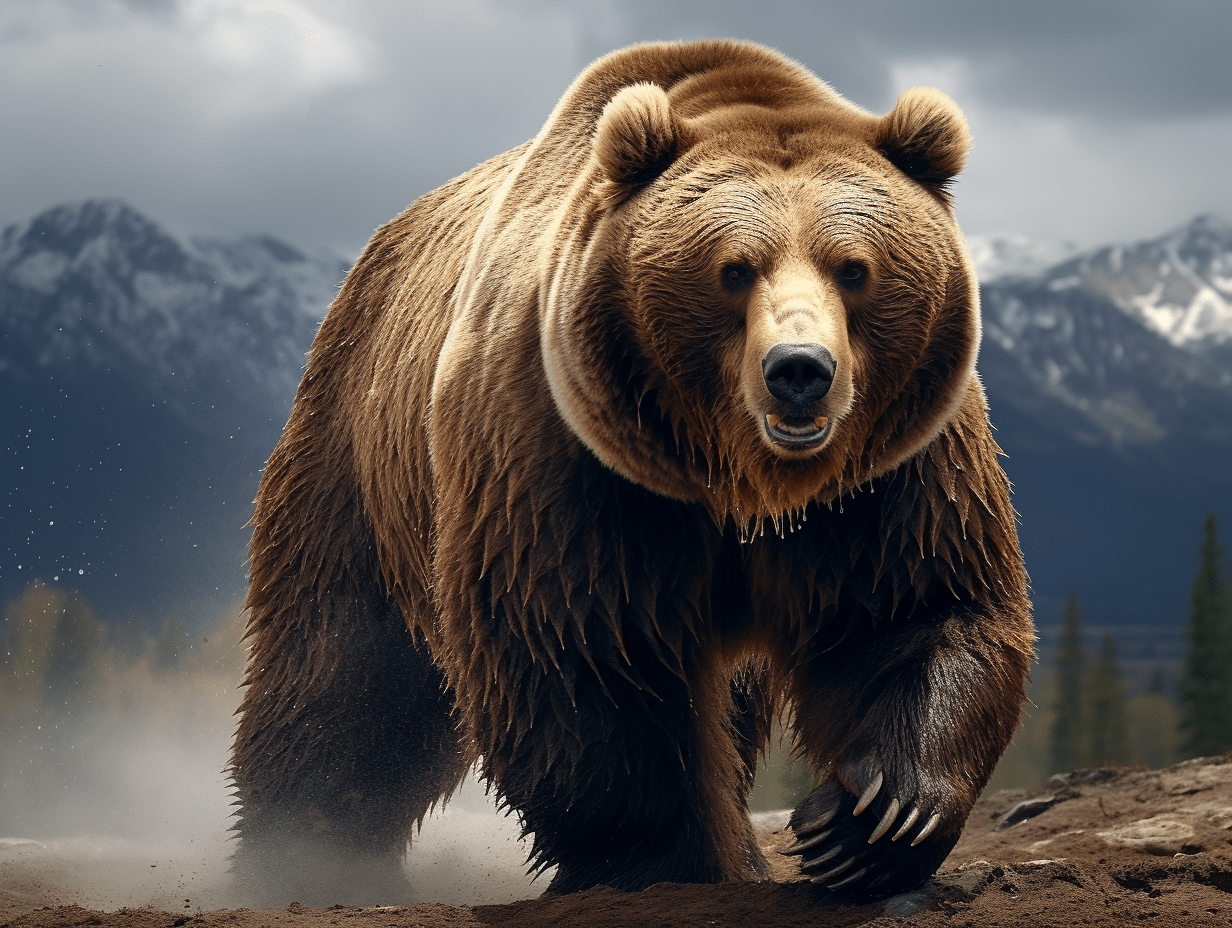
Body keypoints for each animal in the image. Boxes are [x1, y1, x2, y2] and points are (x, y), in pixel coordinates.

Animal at [229, 38, 1034, 906]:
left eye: (854, 268)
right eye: (734, 269)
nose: (800, 371)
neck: (738, 477)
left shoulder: (889, 467)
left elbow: (911, 606)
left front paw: (868, 822)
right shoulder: (568, 451)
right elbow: (588, 654)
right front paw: (667, 860)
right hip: (360, 450)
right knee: (343, 668)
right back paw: (298, 855)